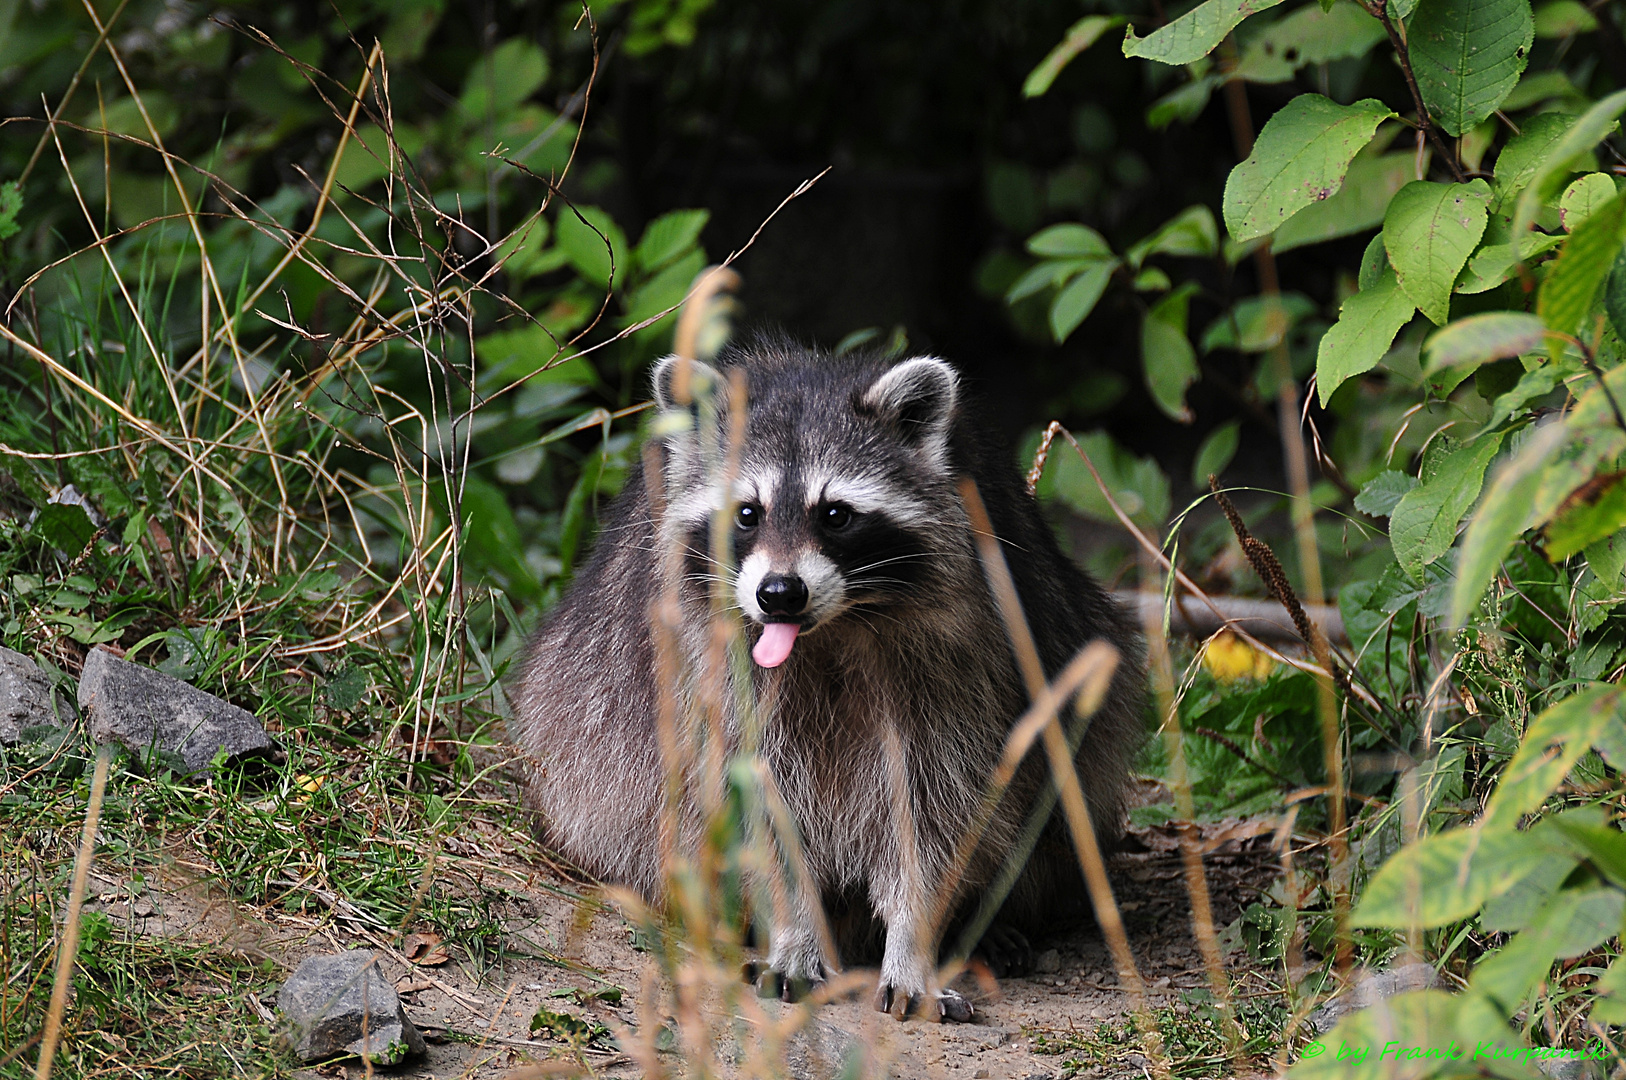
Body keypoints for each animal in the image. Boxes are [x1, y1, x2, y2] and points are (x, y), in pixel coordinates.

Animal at [513, 338, 1151, 1021]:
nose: (778, 594)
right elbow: (756, 808)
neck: (830, 632)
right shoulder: (714, 683)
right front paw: (794, 931)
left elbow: (936, 806)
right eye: (747, 513)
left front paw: (914, 942)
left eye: (836, 515)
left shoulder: (966, 664)